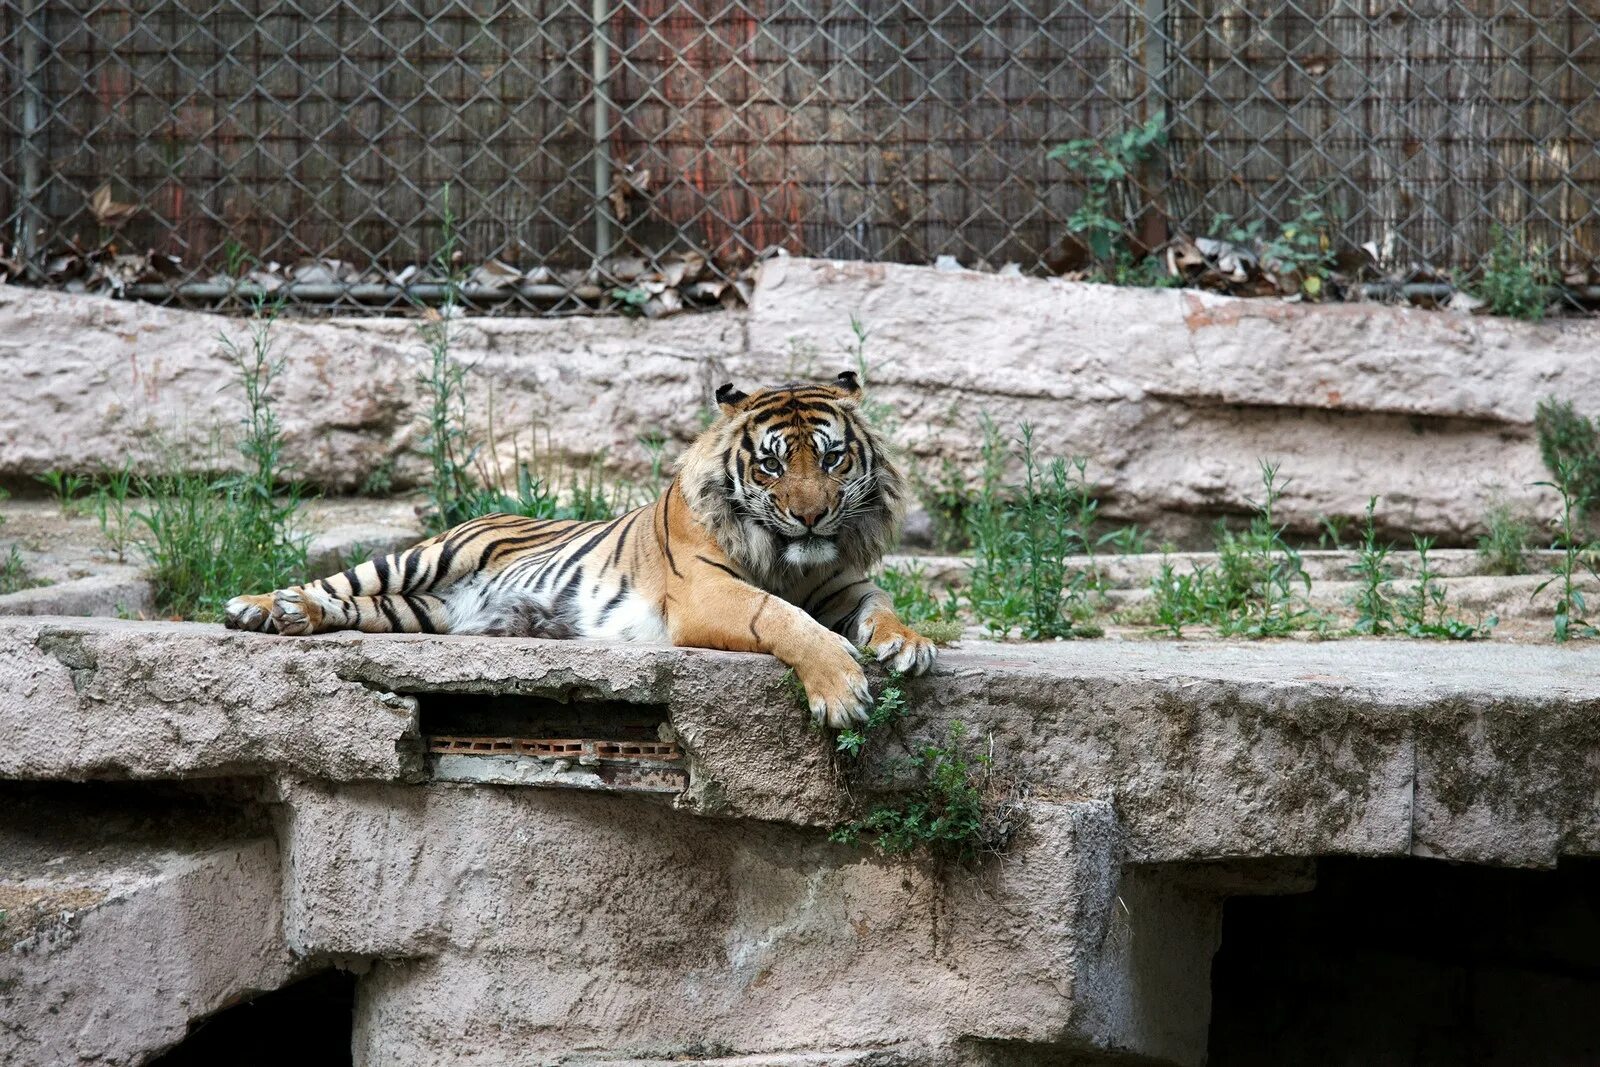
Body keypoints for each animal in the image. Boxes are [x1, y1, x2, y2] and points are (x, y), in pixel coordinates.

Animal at [219, 367, 934, 726]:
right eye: (771, 465)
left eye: (833, 458)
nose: (811, 518)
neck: (791, 560)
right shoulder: (709, 592)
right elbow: (782, 618)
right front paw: (842, 692)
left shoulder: (845, 585)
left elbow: (881, 607)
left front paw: (910, 644)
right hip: (423, 557)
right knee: (336, 582)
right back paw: (262, 608)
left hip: (419, 611)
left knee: (359, 608)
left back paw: (294, 618)